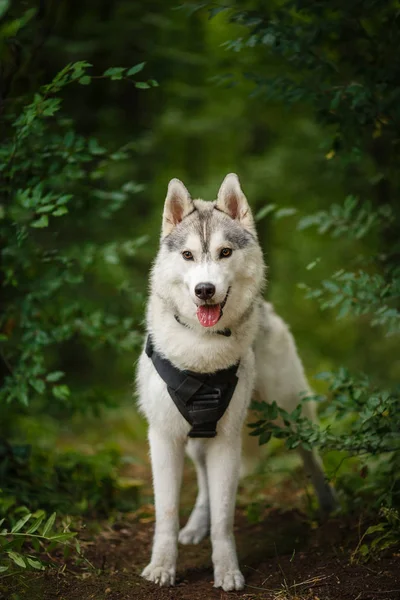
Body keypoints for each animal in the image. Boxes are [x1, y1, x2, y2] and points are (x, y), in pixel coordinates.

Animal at [136, 173, 336, 592]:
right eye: (188, 256)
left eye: (225, 252)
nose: (205, 290)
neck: (200, 348)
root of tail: (267, 308)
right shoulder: (164, 438)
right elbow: (166, 513)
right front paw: (162, 567)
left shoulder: (228, 441)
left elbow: (225, 519)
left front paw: (227, 570)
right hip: (199, 440)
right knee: (202, 486)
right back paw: (195, 526)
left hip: (290, 416)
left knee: (310, 454)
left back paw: (330, 506)